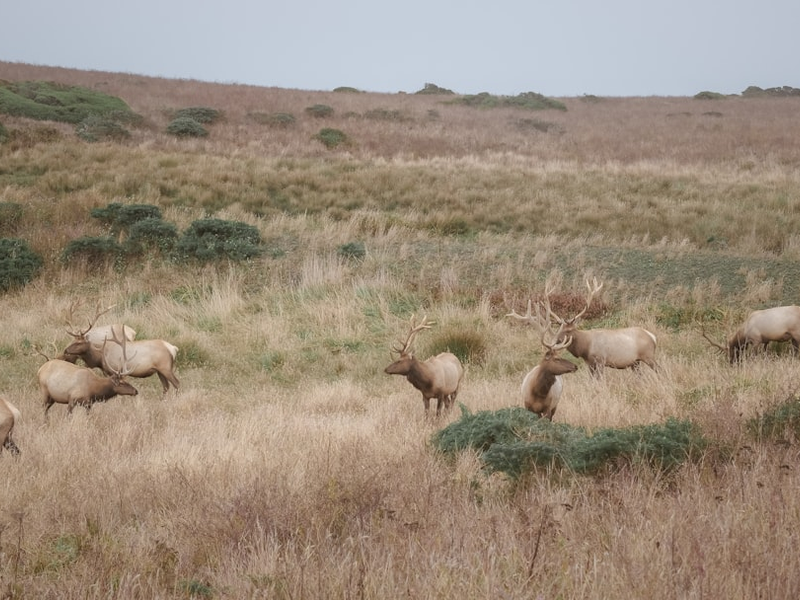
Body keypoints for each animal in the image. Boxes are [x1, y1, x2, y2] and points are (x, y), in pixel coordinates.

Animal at [511, 278, 658, 375]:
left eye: (569, 330)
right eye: (559, 329)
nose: (556, 341)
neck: (585, 348)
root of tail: (653, 337)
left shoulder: (600, 361)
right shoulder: (590, 364)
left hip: (649, 356)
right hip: (635, 362)